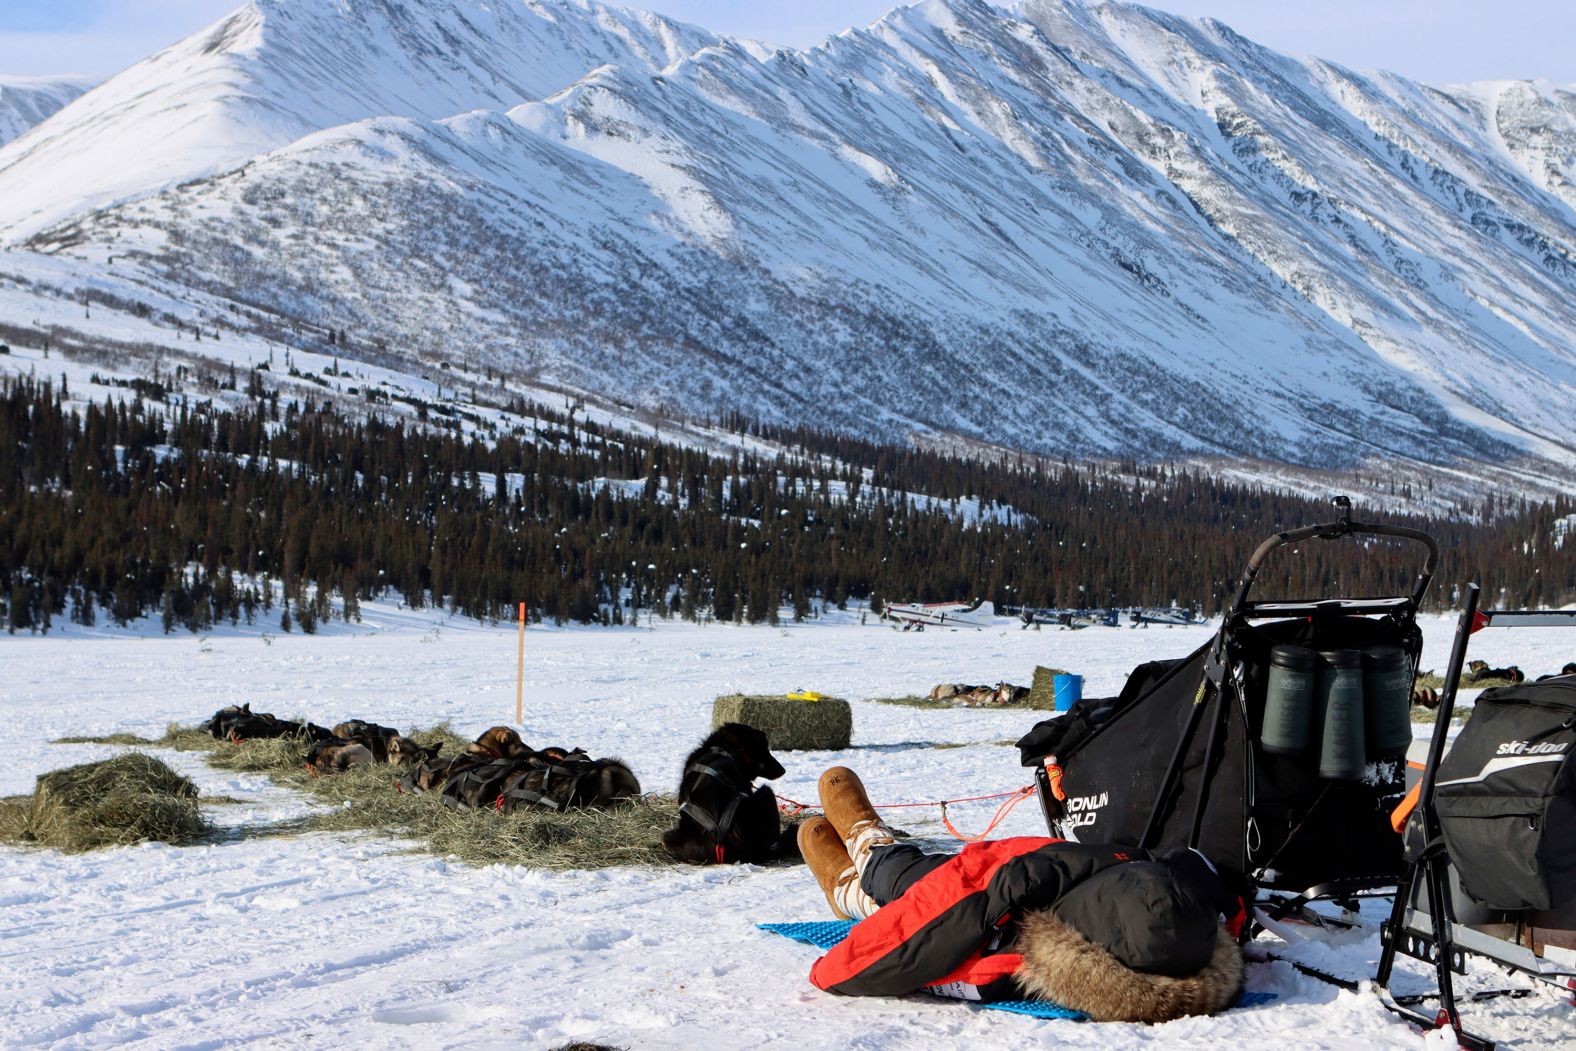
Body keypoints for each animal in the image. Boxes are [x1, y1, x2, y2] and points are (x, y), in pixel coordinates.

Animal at [661, 724, 800, 863]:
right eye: (764, 750)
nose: (783, 770)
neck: (726, 747)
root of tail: (719, 842)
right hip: (767, 793)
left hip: (669, 836)